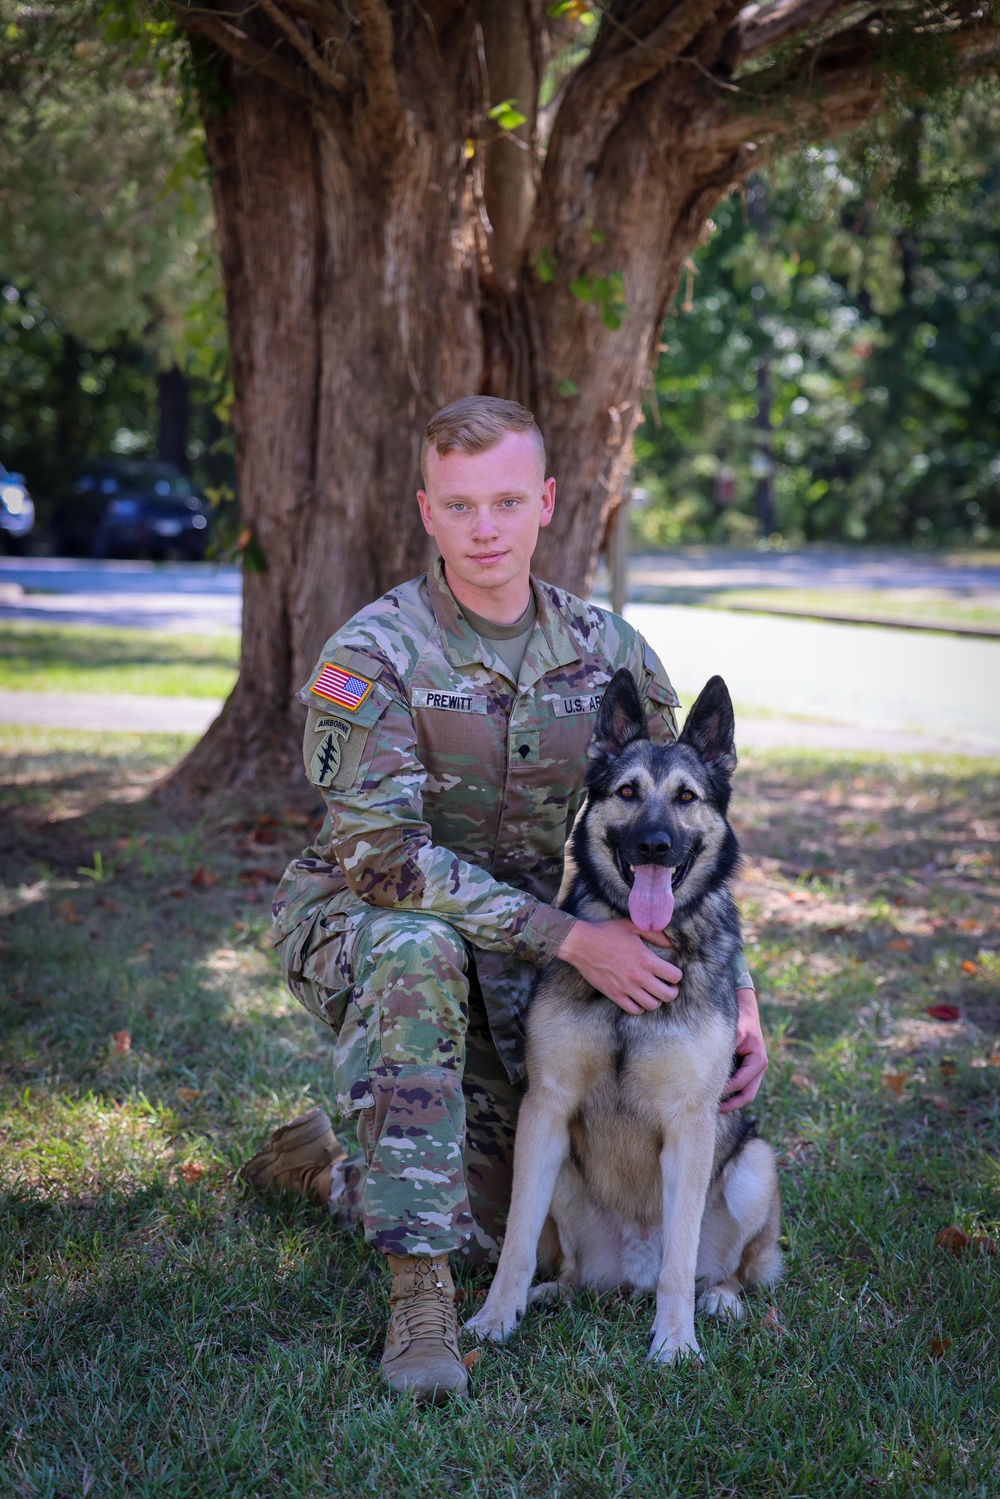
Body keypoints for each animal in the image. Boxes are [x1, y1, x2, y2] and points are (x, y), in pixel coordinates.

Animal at [464, 668, 785, 1361]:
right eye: (628, 792)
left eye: (687, 797)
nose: (654, 845)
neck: (646, 943)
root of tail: (626, 1275)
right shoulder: (546, 1108)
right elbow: (516, 1241)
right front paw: (495, 1317)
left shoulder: (691, 1124)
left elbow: (681, 1257)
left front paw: (675, 1344)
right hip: (557, 1170)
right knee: (565, 1266)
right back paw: (550, 1294)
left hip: (756, 1166)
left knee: (730, 1269)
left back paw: (717, 1300)